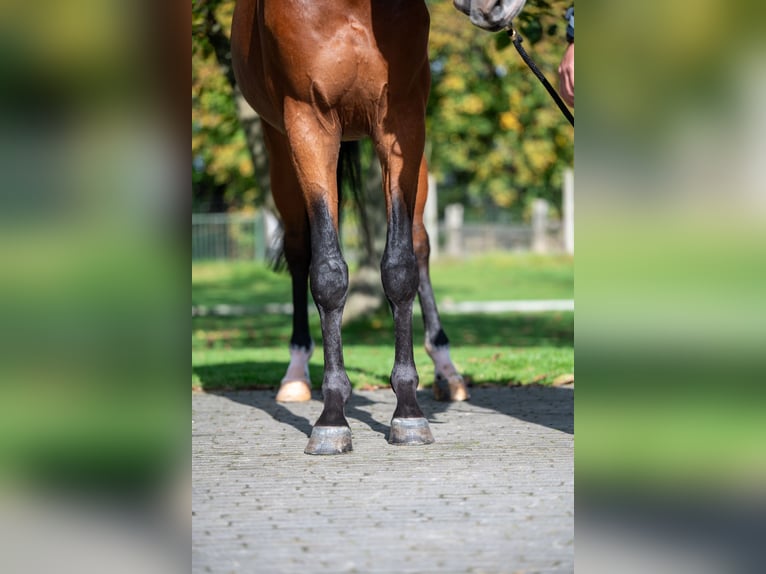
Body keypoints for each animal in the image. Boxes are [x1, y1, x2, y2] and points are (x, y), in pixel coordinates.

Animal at [231, 1, 524, 460]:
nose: (498, 7)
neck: (349, 8)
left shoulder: (401, 121)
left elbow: (400, 268)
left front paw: (408, 410)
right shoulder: (308, 123)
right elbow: (328, 274)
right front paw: (332, 417)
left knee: (419, 245)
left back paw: (447, 371)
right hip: (280, 150)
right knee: (300, 251)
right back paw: (295, 375)